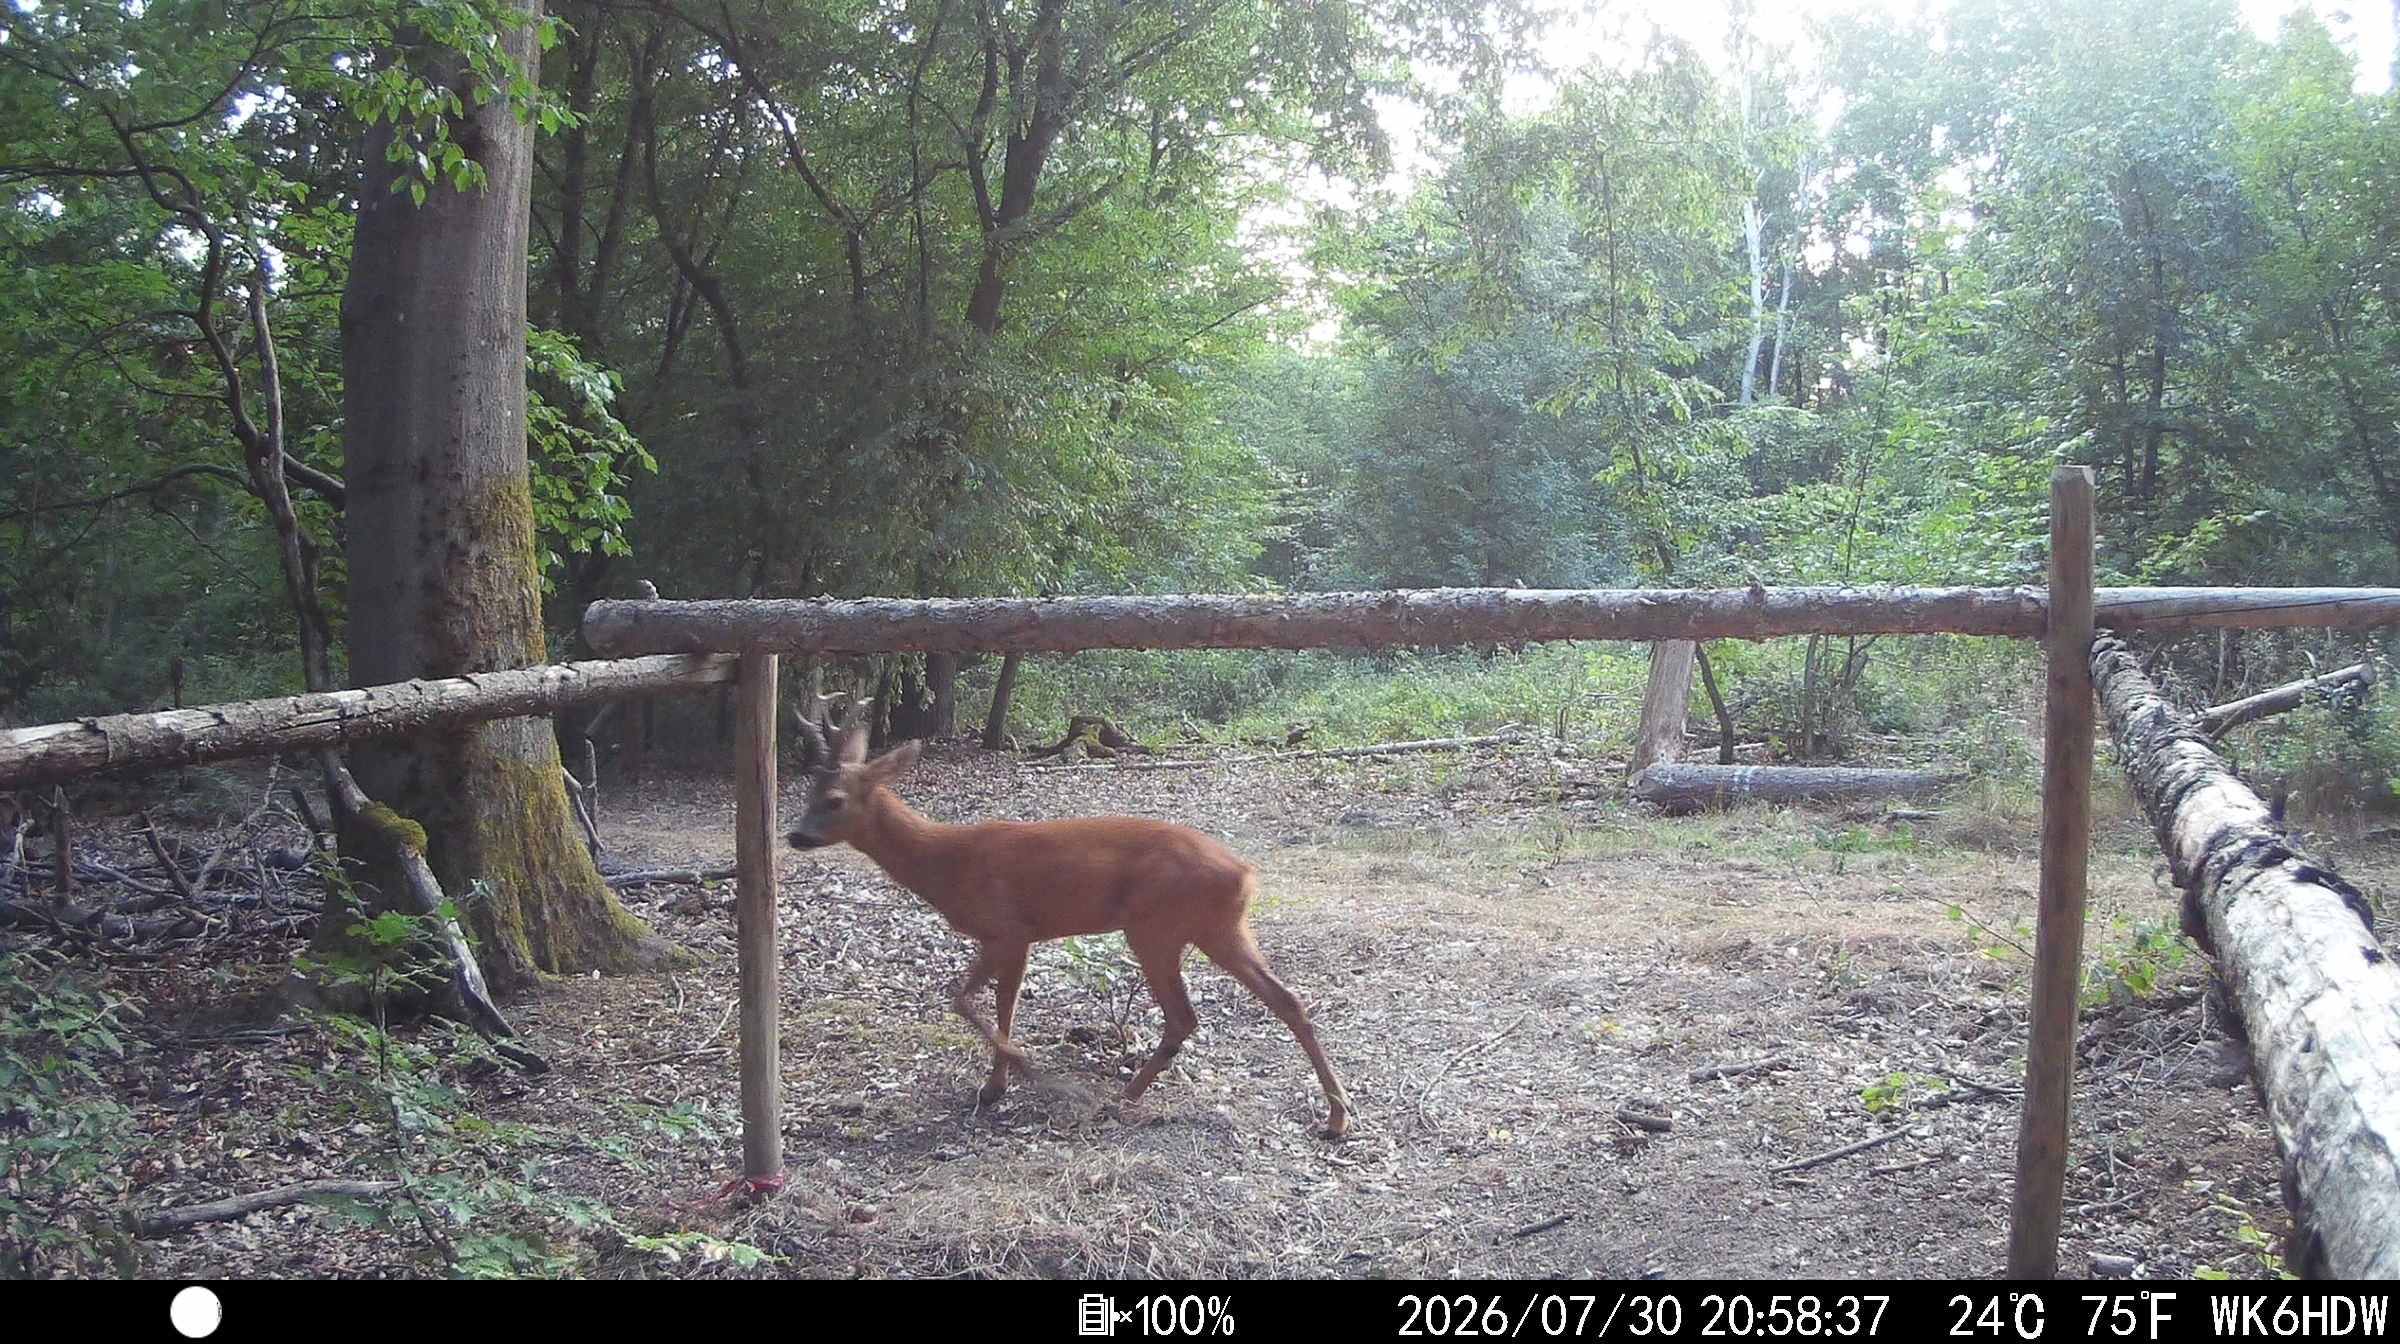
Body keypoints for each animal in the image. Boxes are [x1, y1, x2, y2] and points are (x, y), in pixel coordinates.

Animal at [784, 706, 1351, 1139]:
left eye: (833, 800)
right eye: (808, 796)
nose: (794, 836)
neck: (945, 862)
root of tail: (1246, 873)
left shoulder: (1007, 928)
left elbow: (975, 1002)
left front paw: (1016, 1075)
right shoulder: (1011, 936)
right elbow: (988, 1003)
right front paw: (996, 1085)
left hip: (1155, 927)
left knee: (1185, 1016)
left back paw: (1119, 1097)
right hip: (1220, 929)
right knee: (1287, 999)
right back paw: (1336, 1117)